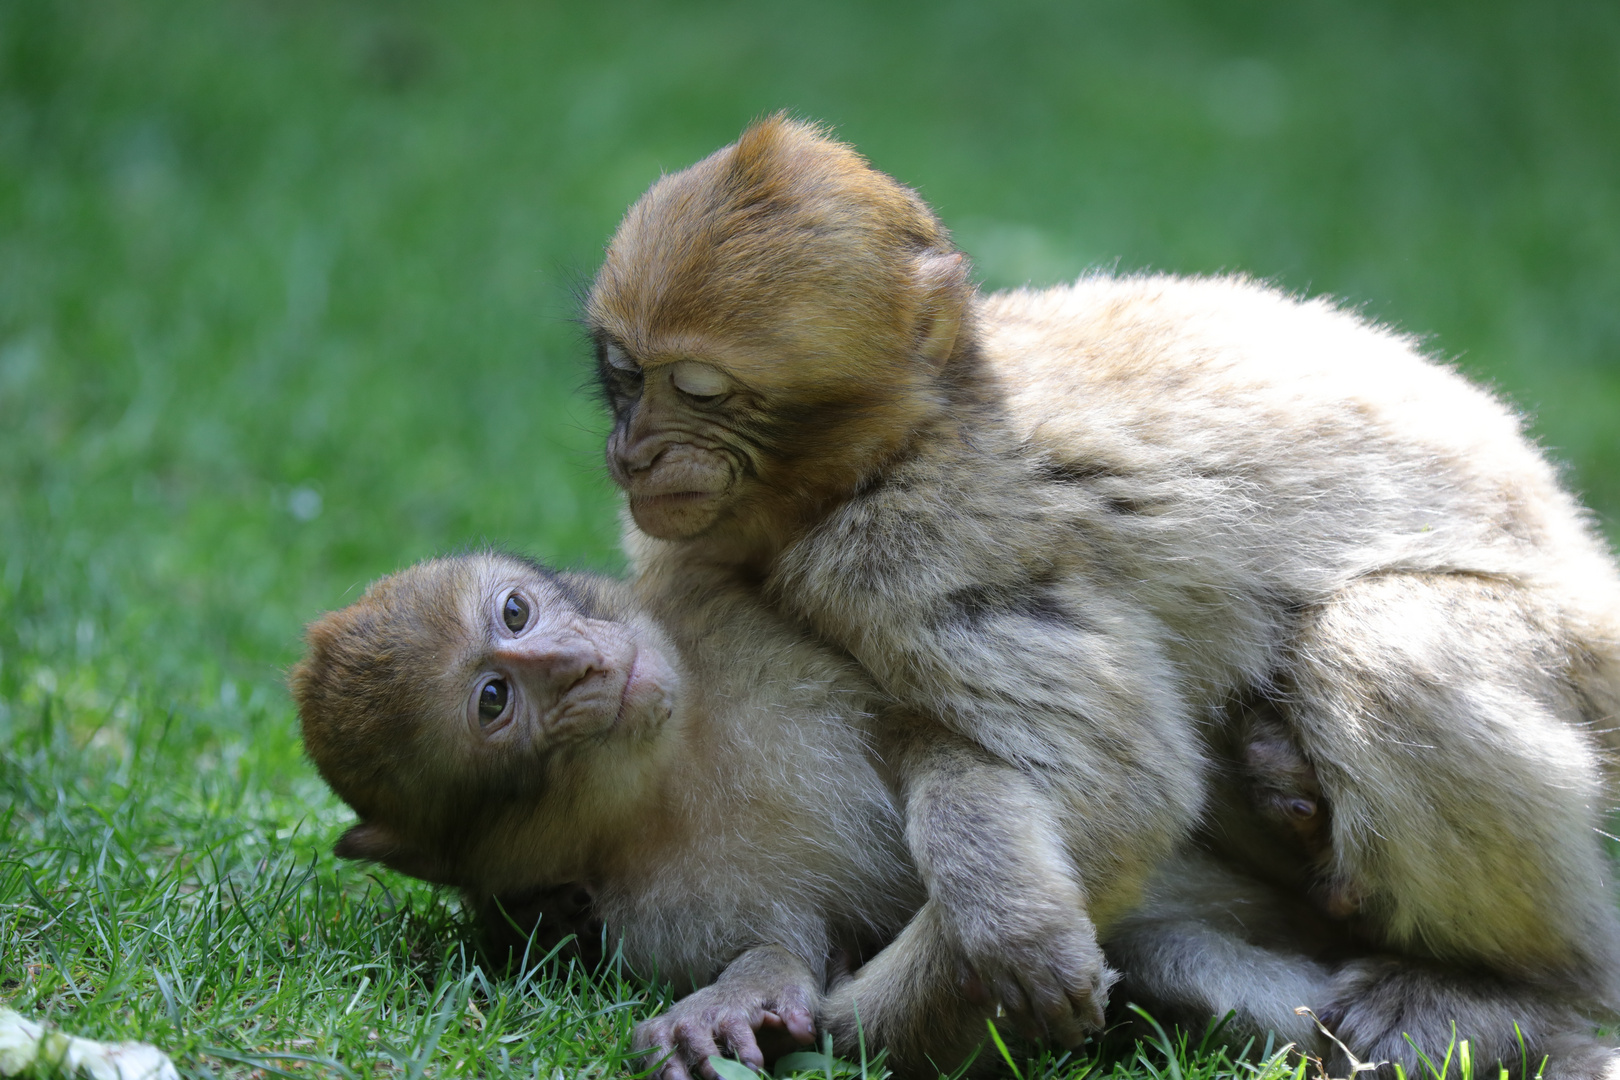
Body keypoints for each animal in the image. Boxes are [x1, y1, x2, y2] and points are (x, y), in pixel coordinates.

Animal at [589, 118, 1620, 1080]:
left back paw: (1513, 989)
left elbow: (1120, 789)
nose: (635, 453)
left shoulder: (917, 542)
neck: (925, 424)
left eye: (701, 391)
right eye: (625, 376)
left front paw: (865, 1014)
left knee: (1387, 643)